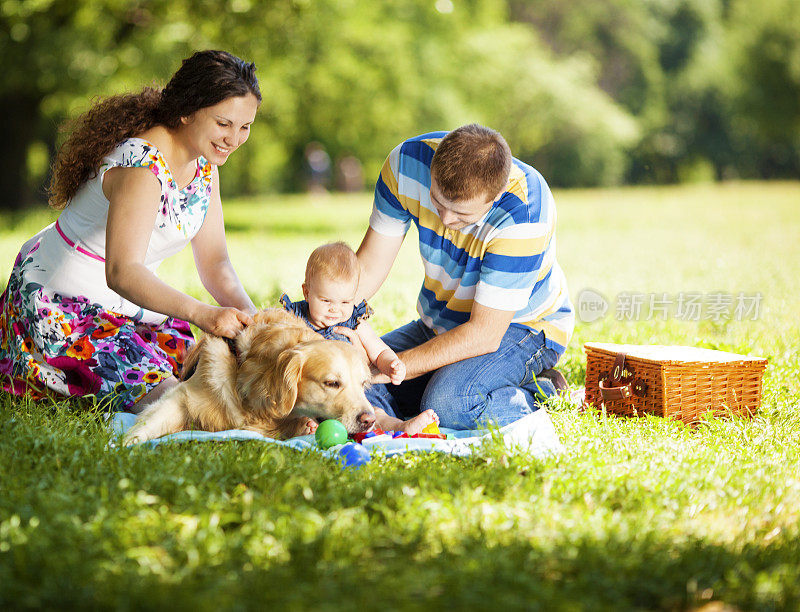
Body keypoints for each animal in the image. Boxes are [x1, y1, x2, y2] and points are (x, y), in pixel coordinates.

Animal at [122, 310, 378, 444]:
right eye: (332, 383)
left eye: (363, 384)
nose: (369, 420)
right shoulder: (182, 396)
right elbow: (150, 422)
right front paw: (123, 445)